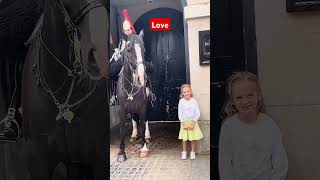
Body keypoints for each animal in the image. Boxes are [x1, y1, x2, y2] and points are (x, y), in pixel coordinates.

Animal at [115, 30, 150, 162]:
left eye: (143, 50)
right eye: (128, 50)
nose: (141, 78)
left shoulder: (142, 106)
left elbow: (143, 124)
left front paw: (144, 146)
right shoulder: (122, 108)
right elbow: (122, 128)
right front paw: (121, 152)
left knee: (145, 120)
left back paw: (146, 137)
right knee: (134, 119)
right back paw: (134, 135)